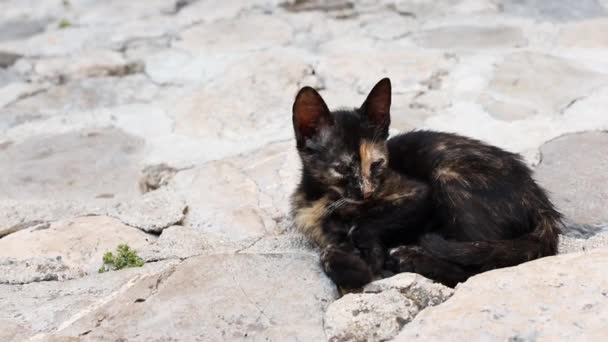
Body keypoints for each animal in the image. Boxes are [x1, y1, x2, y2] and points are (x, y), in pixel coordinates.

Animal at [290, 77, 560, 288]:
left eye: (377, 164)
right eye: (342, 168)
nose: (366, 192)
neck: (326, 200)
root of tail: (539, 201)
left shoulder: (420, 194)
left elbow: (361, 228)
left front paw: (373, 255)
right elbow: (329, 253)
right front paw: (358, 266)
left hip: (447, 173)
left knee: (476, 267)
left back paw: (408, 257)